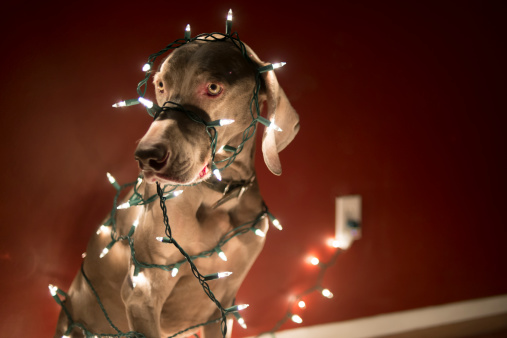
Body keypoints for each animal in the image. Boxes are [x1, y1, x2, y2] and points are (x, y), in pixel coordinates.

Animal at [54, 35, 302, 336]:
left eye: (213, 87)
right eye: (160, 85)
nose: (145, 156)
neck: (220, 197)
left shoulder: (223, 307)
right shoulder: (143, 293)